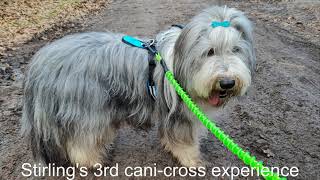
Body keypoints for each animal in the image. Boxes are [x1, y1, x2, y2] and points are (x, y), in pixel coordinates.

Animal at [21, 5, 255, 169]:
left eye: (235, 49)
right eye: (210, 51)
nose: (227, 82)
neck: (180, 64)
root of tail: (40, 63)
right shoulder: (179, 115)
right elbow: (185, 143)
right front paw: (192, 161)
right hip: (88, 109)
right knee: (80, 144)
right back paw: (93, 161)